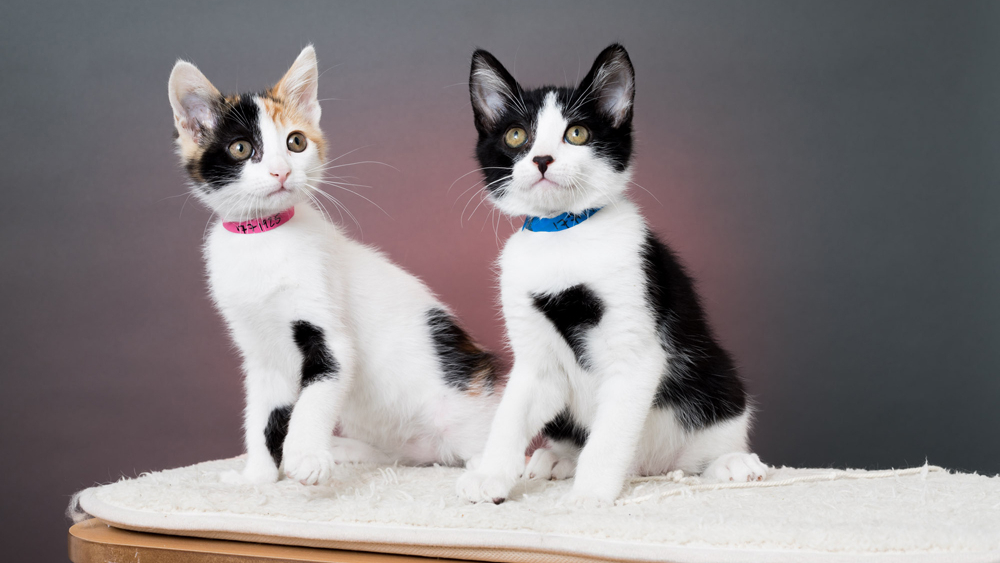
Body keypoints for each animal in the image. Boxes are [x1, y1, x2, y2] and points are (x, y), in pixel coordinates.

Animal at [173, 46, 504, 486]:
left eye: (296, 142)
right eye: (241, 149)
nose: (282, 171)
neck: (262, 237)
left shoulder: (329, 331)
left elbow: (315, 394)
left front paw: (304, 457)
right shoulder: (260, 353)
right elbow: (261, 415)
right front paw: (257, 477)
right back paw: (350, 451)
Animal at [458, 43, 768, 502]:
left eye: (577, 134)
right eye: (516, 135)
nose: (543, 159)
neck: (563, 234)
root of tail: (648, 467)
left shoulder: (636, 347)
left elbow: (610, 432)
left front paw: (590, 494)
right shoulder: (534, 356)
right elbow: (511, 415)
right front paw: (490, 475)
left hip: (716, 379)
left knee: (709, 436)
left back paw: (730, 462)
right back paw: (557, 459)